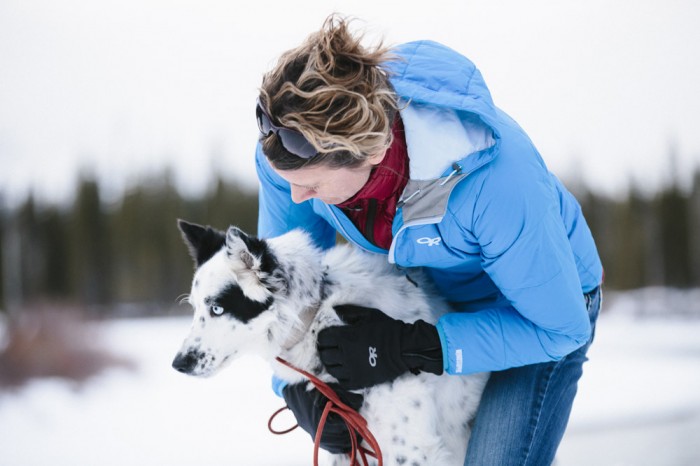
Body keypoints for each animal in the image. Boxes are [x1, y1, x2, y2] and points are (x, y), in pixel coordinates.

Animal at [172, 221, 486, 466]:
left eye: (217, 308)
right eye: (196, 307)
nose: (178, 364)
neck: (318, 317)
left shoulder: (411, 449)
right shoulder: (346, 439)